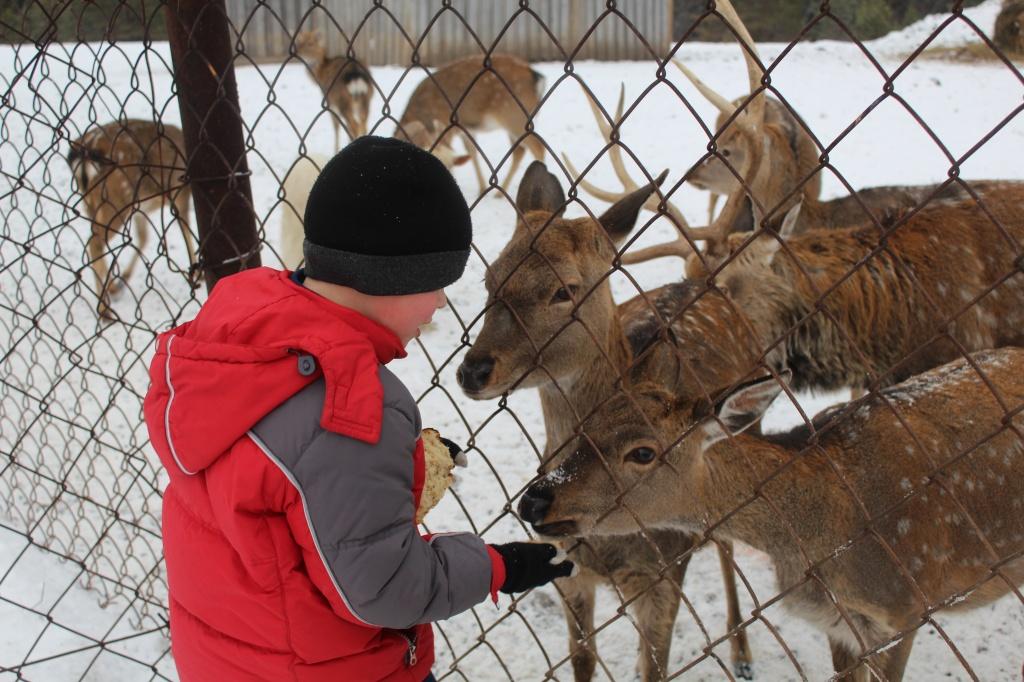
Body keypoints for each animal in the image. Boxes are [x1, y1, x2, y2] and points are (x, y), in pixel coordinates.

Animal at [67, 118, 197, 319]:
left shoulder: (140, 209)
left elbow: (143, 237)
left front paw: (124, 278)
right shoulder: (179, 193)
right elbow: (186, 230)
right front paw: (196, 275)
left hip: (91, 202)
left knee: (95, 239)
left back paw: (111, 290)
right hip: (117, 198)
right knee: (95, 242)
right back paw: (105, 310)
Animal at [395, 54, 548, 195]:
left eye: (449, 169)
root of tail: (537, 77)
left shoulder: (449, 124)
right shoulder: (464, 128)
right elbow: (472, 151)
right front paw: (482, 188)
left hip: (515, 116)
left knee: (538, 147)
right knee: (520, 151)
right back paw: (499, 193)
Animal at [456, 161, 761, 675]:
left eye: (565, 289)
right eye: (490, 279)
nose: (473, 370)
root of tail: (706, 283)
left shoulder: (664, 577)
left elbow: (654, 669)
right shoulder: (567, 569)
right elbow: (583, 660)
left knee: (725, 544)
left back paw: (741, 652)